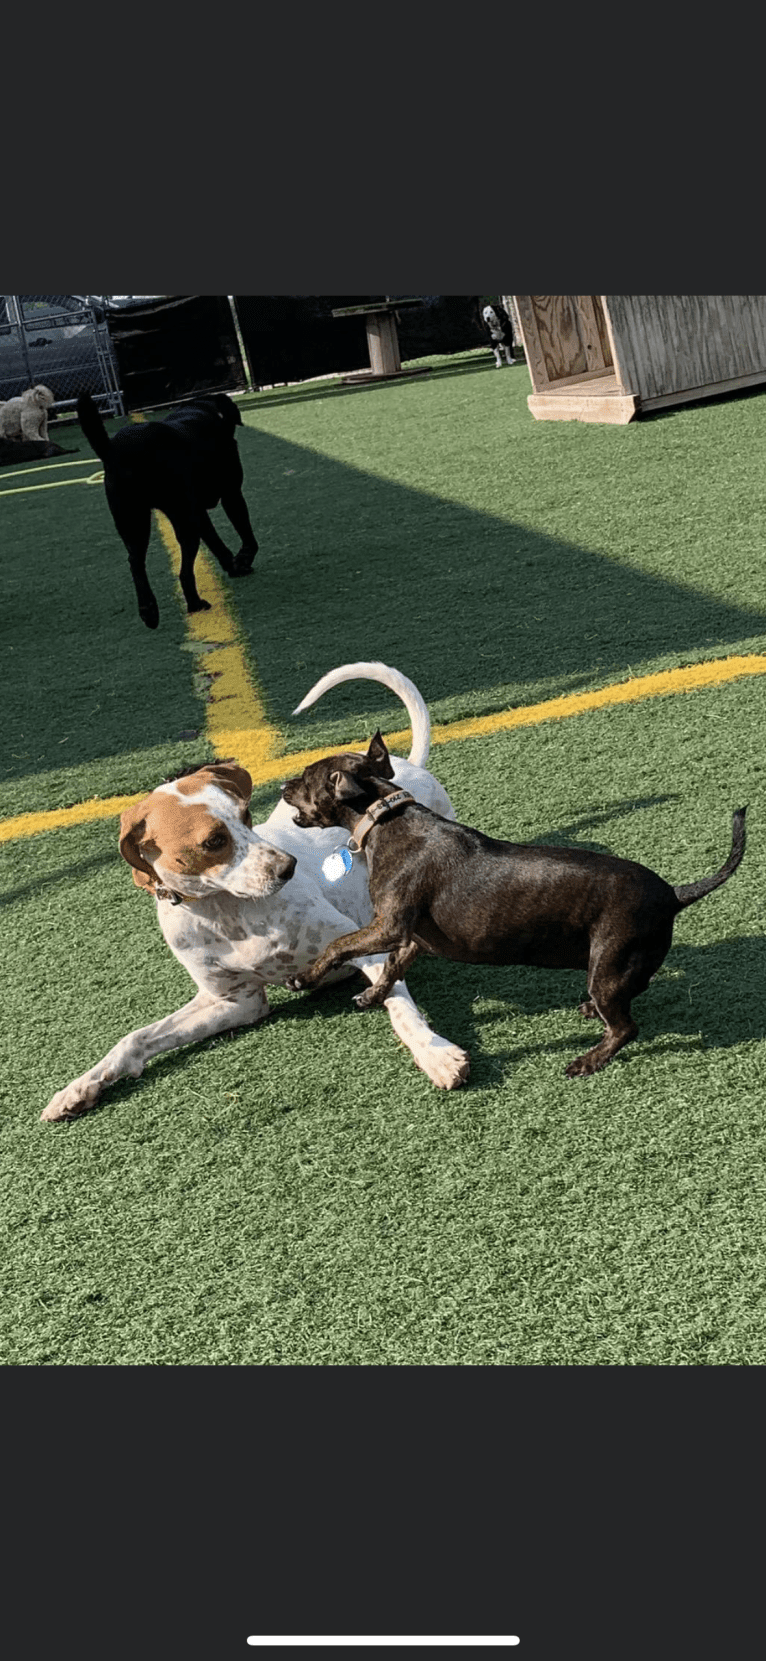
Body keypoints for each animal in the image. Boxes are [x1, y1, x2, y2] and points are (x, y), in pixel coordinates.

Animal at [43, 657, 471, 1116]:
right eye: (213, 841)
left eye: (247, 815)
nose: (288, 867)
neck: (229, 914)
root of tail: (410, 764)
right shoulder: (236, 1001)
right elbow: (135, 1038)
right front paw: (79, 1088)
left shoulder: (362, 951)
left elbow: (400, 1008)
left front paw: (436, 1053)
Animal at [77, 388, 257, 627]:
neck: (203, 411)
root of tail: (115, 450)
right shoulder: (231, 494)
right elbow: (247, 534)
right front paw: (243, 559)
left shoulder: (197, 512)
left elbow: (217, 543)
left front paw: (234, 566)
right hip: (180, 521)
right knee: (184, 572)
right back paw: (195, 603)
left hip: (133, 521)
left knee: (135, 562)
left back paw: (149, 610)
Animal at [279, 737, 741, 1076]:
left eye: (305, 778)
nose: (282, 785)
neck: (386, 820)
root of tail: (674, 894)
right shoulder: (411, 937)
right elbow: (393, 966)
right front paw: (374, 995)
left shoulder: (389, 925)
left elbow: (339, 944)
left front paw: (304, 978)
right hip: (613, 968)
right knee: (629, 999)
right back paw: (592, 1014)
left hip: (610, 963)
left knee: (626, 1027)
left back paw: (587, 1061)